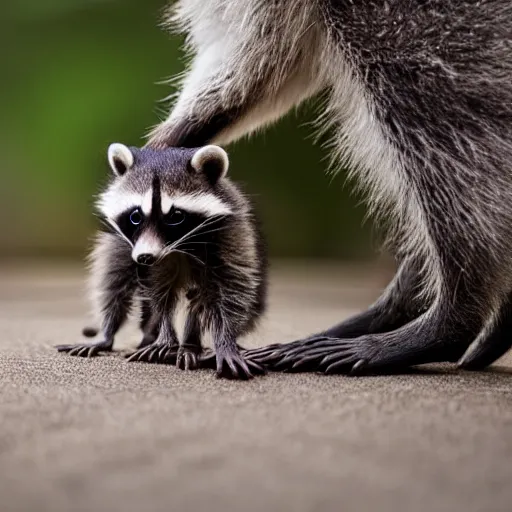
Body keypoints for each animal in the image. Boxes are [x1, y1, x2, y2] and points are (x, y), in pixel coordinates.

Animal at [57, 142, 268, 378]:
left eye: (176, 217)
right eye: (135, 216)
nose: (145, 257)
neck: (177, 248)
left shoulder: (228, 233)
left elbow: (233, 287)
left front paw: (225, 340)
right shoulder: (129, 247)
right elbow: (152, 293)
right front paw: (163, 336)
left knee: (199, 298)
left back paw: (189, 346)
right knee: (114, 284)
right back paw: (112, 333)